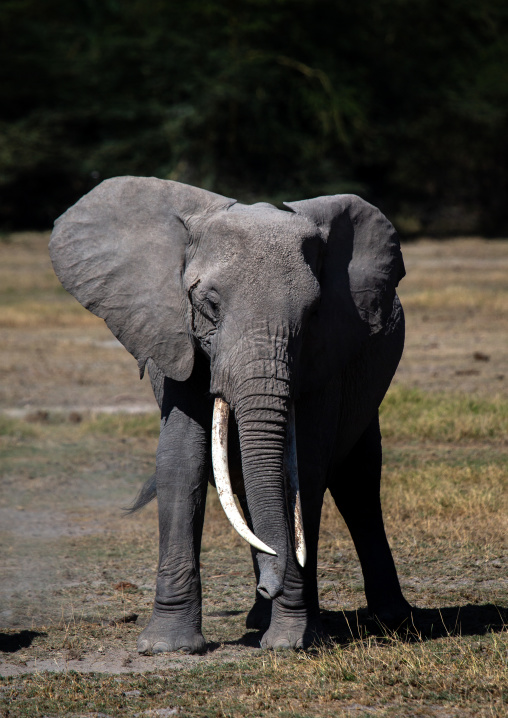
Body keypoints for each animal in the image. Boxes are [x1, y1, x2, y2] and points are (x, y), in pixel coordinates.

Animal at [49, 176, 412, 653]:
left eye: (313, 313)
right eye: (210, 305)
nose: (270, 586)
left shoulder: (324, 354)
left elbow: (306, 469)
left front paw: (291, 642)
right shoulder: (174, 334)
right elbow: (181, 460)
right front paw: (168, 647)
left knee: (359, 481)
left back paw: (390, 620)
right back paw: (259, 619)